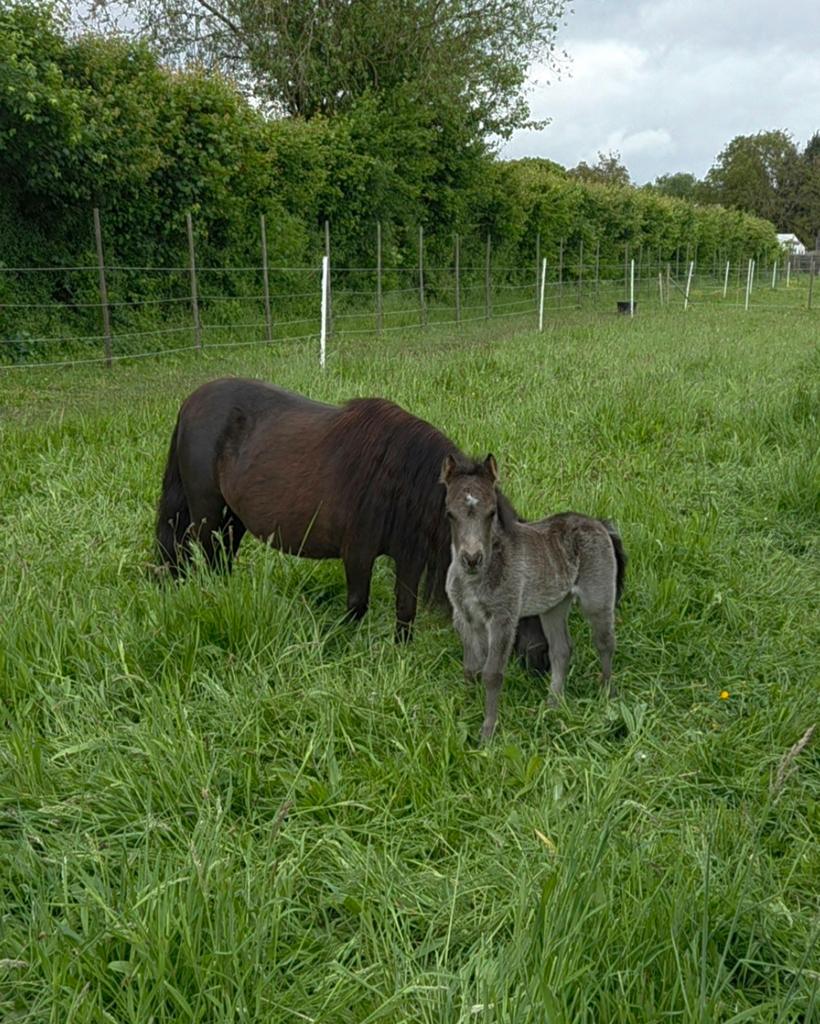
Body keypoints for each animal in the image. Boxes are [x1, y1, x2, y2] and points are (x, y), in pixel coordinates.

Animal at [154, 377, 550, 666]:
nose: (543, 660)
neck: (397, 480)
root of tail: (191, 402)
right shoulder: (357, 554)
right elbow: (357, 607)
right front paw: (340, 650)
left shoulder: (410, 557)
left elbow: (405, 609)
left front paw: (400, 656)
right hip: (206, 512)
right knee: (206, 556)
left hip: (233, 518)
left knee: (222, 558)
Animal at [441, 453, 627, 741]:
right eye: (450, 514)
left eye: (491, 512)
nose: (472, 559)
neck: (475, 579)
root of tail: (599, 524)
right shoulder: (465, 618)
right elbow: (471, 669)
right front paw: (465, 710)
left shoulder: (503, 619)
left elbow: (492, 674)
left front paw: (487, 733)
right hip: (554, 606)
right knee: (562, 649)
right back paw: (553, 703)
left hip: (597, 598)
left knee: (605, 642)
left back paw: (607, 696)